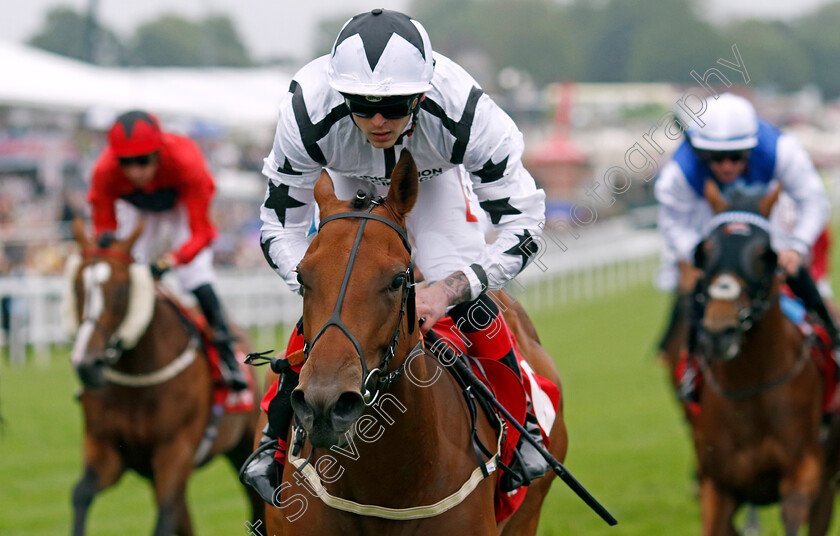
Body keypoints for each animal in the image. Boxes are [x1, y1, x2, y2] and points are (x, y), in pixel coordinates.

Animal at [68, 220, 262, 532]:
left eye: (122, 290)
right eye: (76, 288)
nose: (88, 364)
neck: (138, 378)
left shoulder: (175, 451)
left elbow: (165, 514)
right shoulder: (106, 448)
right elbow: (81, 493)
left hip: (244, 443)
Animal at [668, 182, 840, 532]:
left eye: (764, 254)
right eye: (705, 251)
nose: (720, 330)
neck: (748, 389)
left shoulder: (803, 473)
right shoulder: (717, 487)